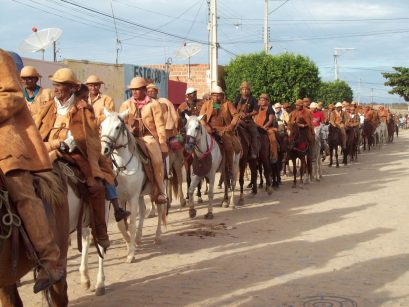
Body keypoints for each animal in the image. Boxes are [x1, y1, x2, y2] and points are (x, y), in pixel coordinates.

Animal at [99, 110, 165, 264]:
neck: (123, 167)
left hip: (157, 189)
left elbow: (132, 223)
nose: (104, 149)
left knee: (159, 210)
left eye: (117, 127)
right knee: (144, 210)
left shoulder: (132, 197)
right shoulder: (120, 198)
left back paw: (157, 236)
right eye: (102, 125)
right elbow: (122, 224)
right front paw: (130, 243)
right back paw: (139, 238)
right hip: (141, 195)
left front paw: (131, 253)